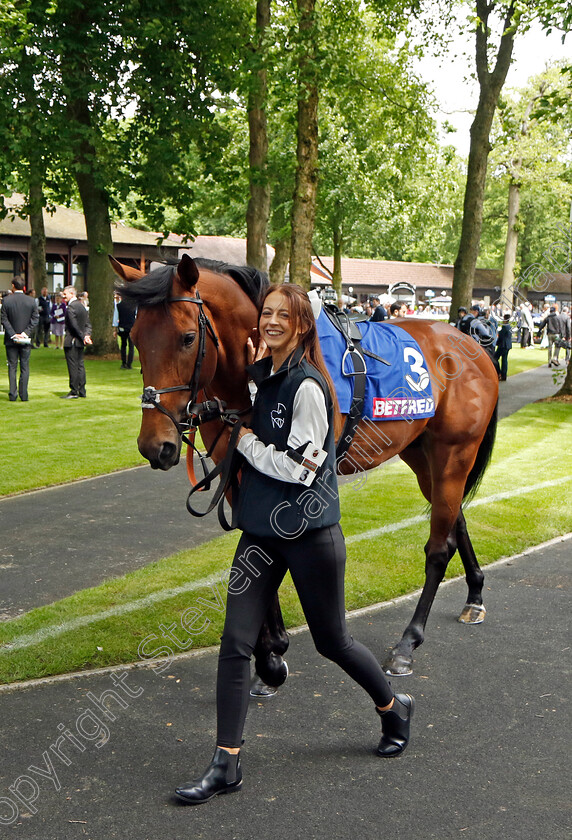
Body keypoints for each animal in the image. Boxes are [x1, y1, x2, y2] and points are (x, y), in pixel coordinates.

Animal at [111, 254, 500, 684]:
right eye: (136, 336)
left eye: (186, 338)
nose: (155, 446)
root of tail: (471, 344)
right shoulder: (238, 472)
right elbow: (254, 544)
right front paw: (271, 649)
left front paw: (269, 656)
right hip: (422, 455)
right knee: (456, 518)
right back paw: (475, 595)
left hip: (454, 454)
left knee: (439, 545)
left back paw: (408, 642)